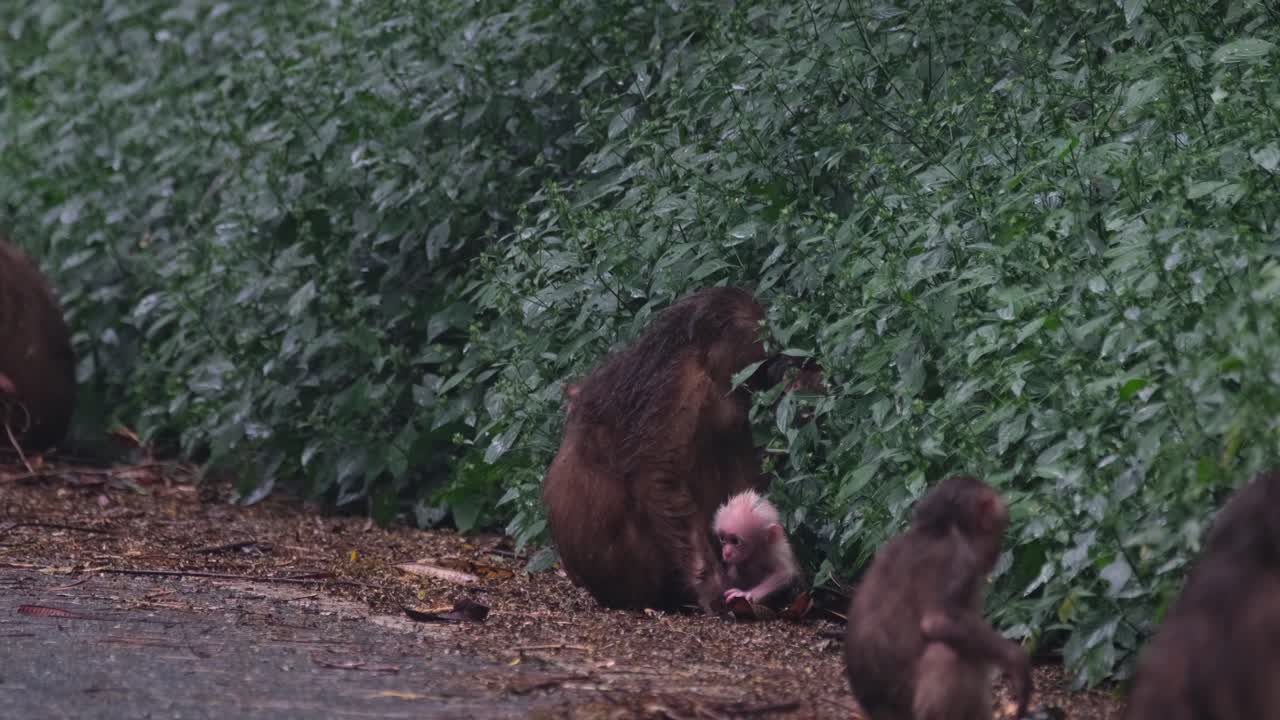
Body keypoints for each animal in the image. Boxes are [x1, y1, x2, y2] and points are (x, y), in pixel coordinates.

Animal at [844, 475, 1032, 720]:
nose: (997, 552)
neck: (939, 531)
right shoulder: (958, 561)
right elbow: (938, 622)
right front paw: (1016, 660)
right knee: (947, 653)